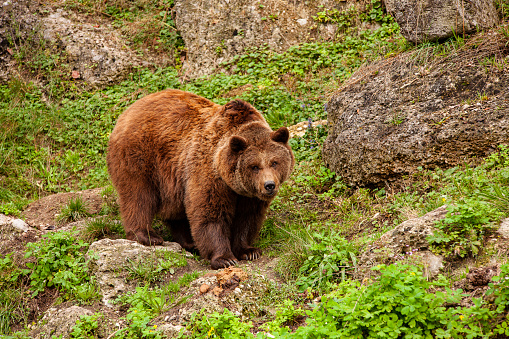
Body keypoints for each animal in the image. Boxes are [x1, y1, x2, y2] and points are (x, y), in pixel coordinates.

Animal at [106, 89, 294, 270]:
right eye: (254, 166)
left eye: (274, 162)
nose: (269, 185)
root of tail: (129, 110)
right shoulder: (209, 174)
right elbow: (209, 214)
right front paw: (224, 258)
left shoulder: (249, 195)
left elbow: (247, 217)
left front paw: (248, 251)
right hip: (141, 157)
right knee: (138, 196)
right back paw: (147, 235)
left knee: (175, 210)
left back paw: (189, 242)